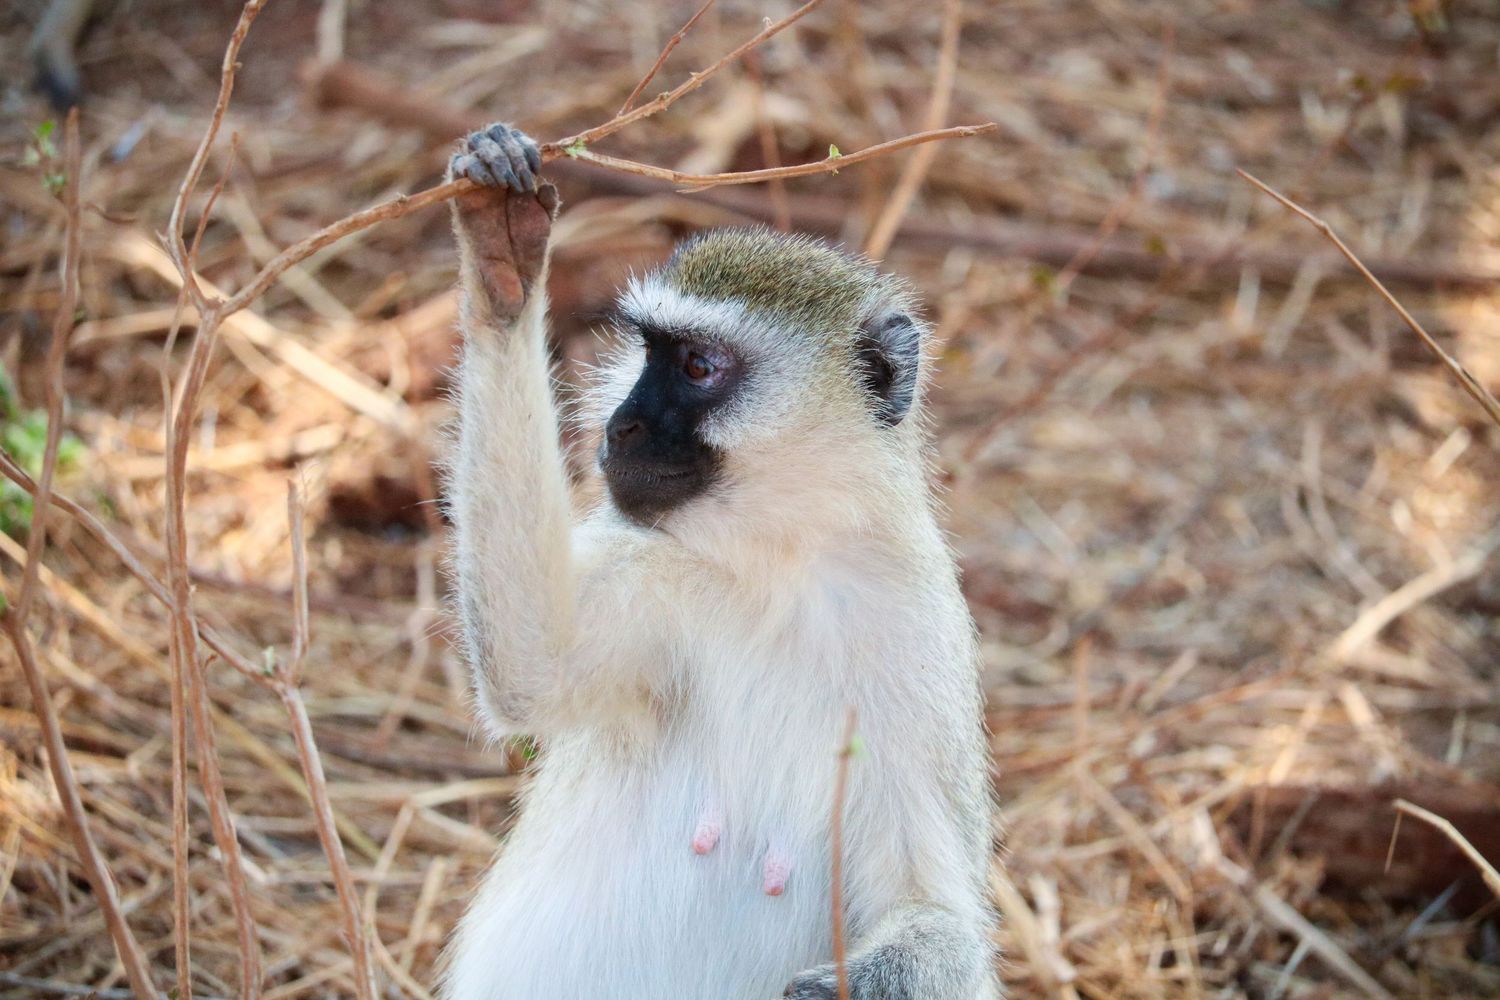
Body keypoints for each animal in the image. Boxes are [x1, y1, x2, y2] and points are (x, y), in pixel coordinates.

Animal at [440, 122, 1000, 1000]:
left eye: (699, 366)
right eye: (646, 352)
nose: (622, 427)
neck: (784, 567)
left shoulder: (916, 631)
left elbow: (938, 908)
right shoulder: (658, 576)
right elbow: (535, 663)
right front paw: (501, 262)